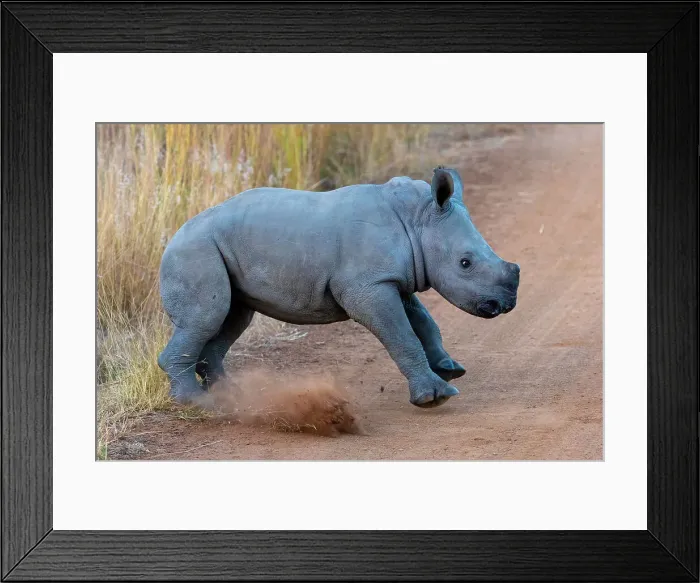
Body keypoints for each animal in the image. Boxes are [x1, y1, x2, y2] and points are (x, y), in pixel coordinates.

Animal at [158, 166, 520, 408]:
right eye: (465, 263)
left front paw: (450, 370)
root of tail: (171, 237)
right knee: (206, 318)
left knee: (232, 317)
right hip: (195, 251)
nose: (504, 304)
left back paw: (228, 395)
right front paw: (435, 397)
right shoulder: (368, 287)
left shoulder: (391, 279)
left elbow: (423, 322)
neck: (417, 220)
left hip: (217, 250)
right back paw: (197, 403)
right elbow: (403, 336)